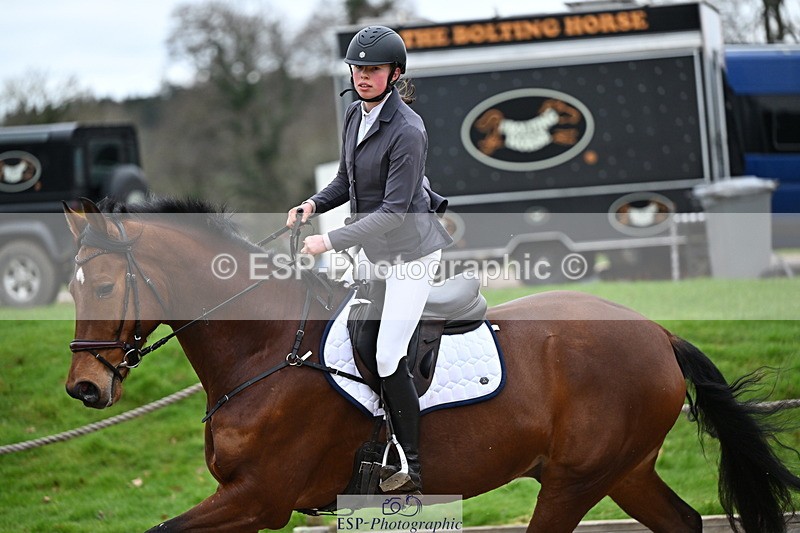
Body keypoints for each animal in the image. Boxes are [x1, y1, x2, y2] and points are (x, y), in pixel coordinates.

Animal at [62, 197, 800, 533]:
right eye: (72, 288)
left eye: (103, 286)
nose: (84, 388)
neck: (268, 349)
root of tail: (656, 331)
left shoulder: (258, 497)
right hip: (625, 470)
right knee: (682, 522)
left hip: (576, 480)